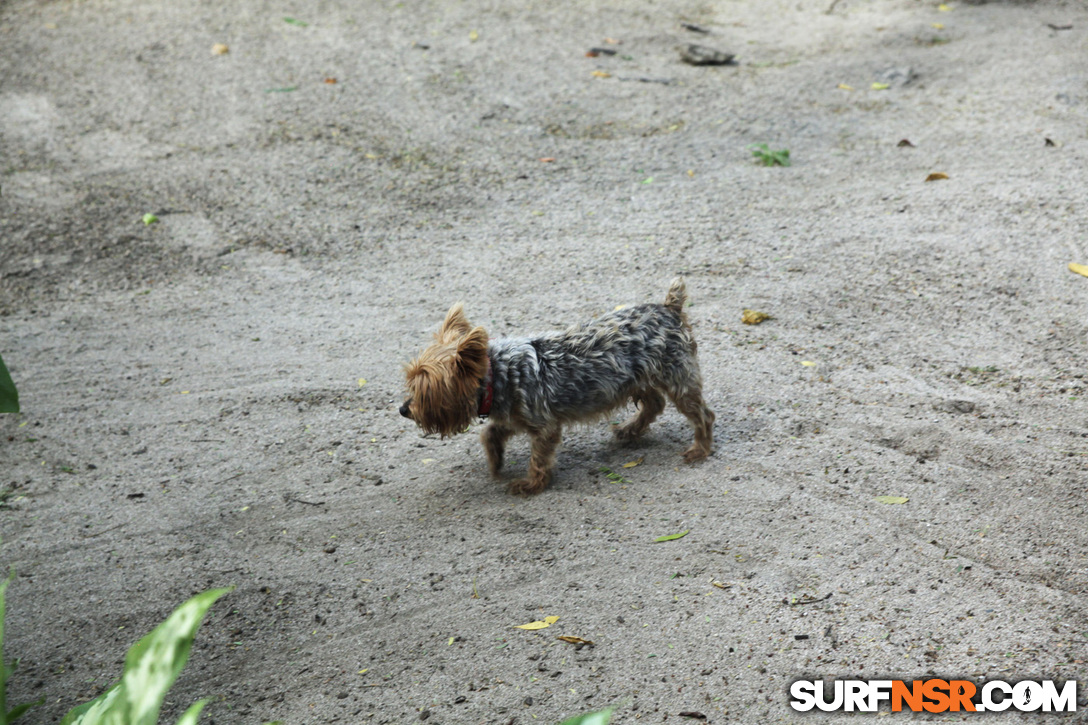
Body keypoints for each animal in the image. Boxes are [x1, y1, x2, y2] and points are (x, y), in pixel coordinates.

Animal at [400, 276, 713, 492]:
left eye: (426, 390)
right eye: (411, 381)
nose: (404, 409)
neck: (497, 375)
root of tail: (669, 307)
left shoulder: (543, 425)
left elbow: (538, 457)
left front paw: (531, 484)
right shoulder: (513, 416)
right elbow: (490, 434)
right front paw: (496, 463)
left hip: (678, 378)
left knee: (702, 415)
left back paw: (700, 449)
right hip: (635, 379)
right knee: (654, 403)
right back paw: (630, 430)